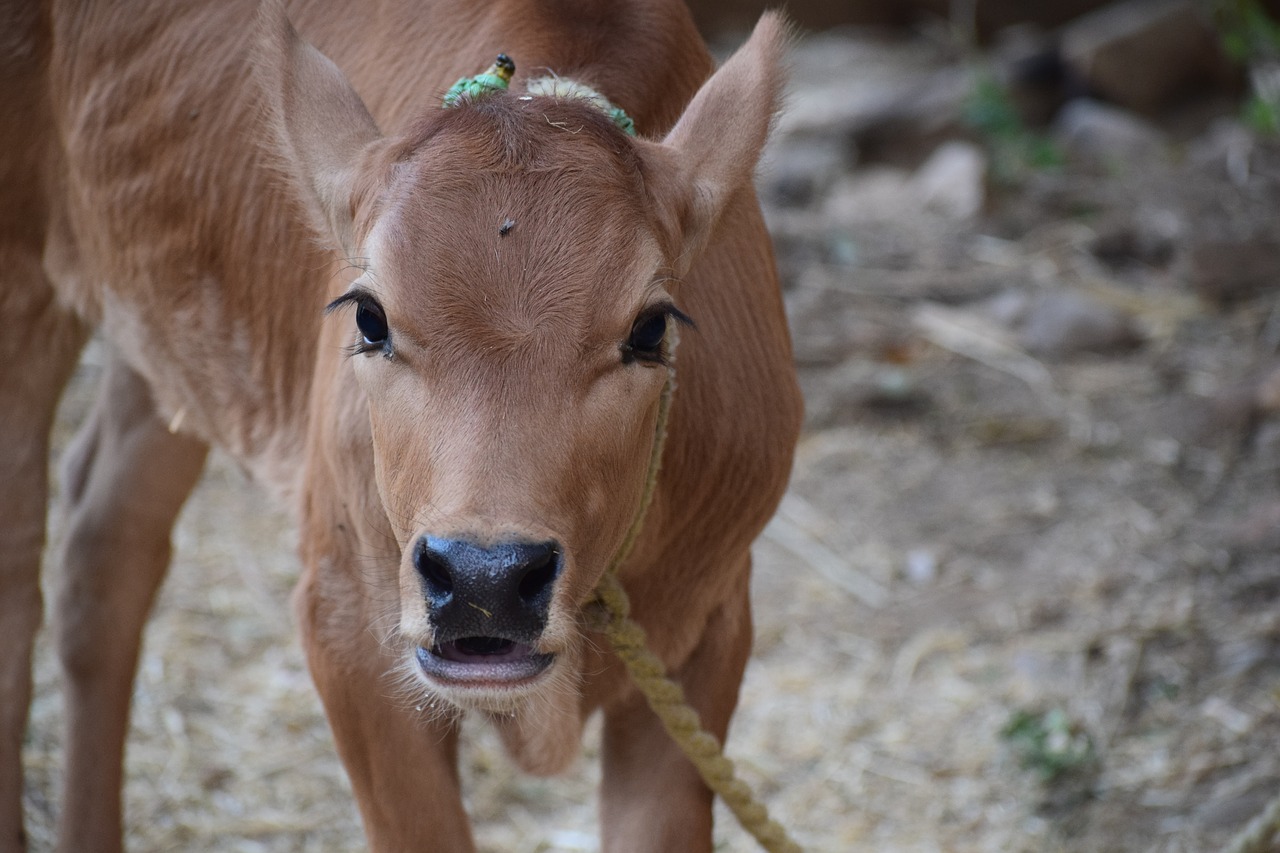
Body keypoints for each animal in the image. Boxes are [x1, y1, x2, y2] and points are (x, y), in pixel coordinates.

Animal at [0, 0, 798, 845]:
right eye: (370, 316)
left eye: (651, 329)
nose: (486, 579)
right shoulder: (347, 619)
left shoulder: (710, 626)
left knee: (106, 537)